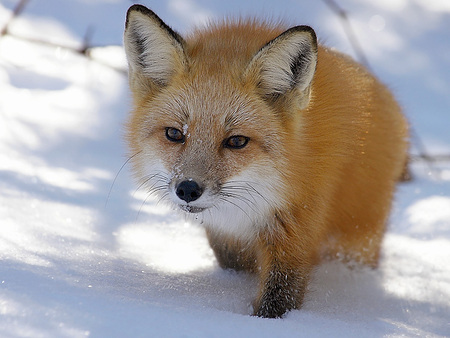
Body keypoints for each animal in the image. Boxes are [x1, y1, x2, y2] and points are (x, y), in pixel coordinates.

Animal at [122, 3, 408, 318]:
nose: (187, 189)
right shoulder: (226, 238)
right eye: (174, 134)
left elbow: (280, 296)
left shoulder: (296, 228)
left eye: (236, 141)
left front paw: (266, 322)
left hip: (355, 240)